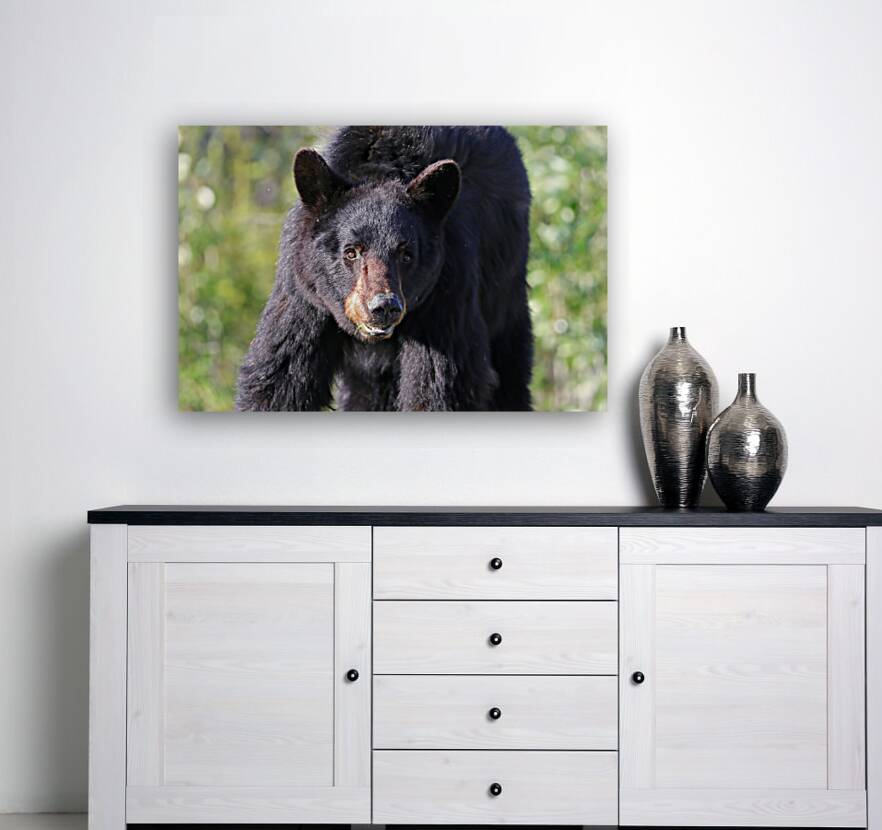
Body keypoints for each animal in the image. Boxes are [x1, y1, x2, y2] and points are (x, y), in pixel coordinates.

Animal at [236, 126, 533, 411]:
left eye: (406, 255)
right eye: (351, 251)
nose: (384, 307)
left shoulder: (446, 291)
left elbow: (439, 383)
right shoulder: (305, 292)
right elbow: (279, 376)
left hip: (506, 299)